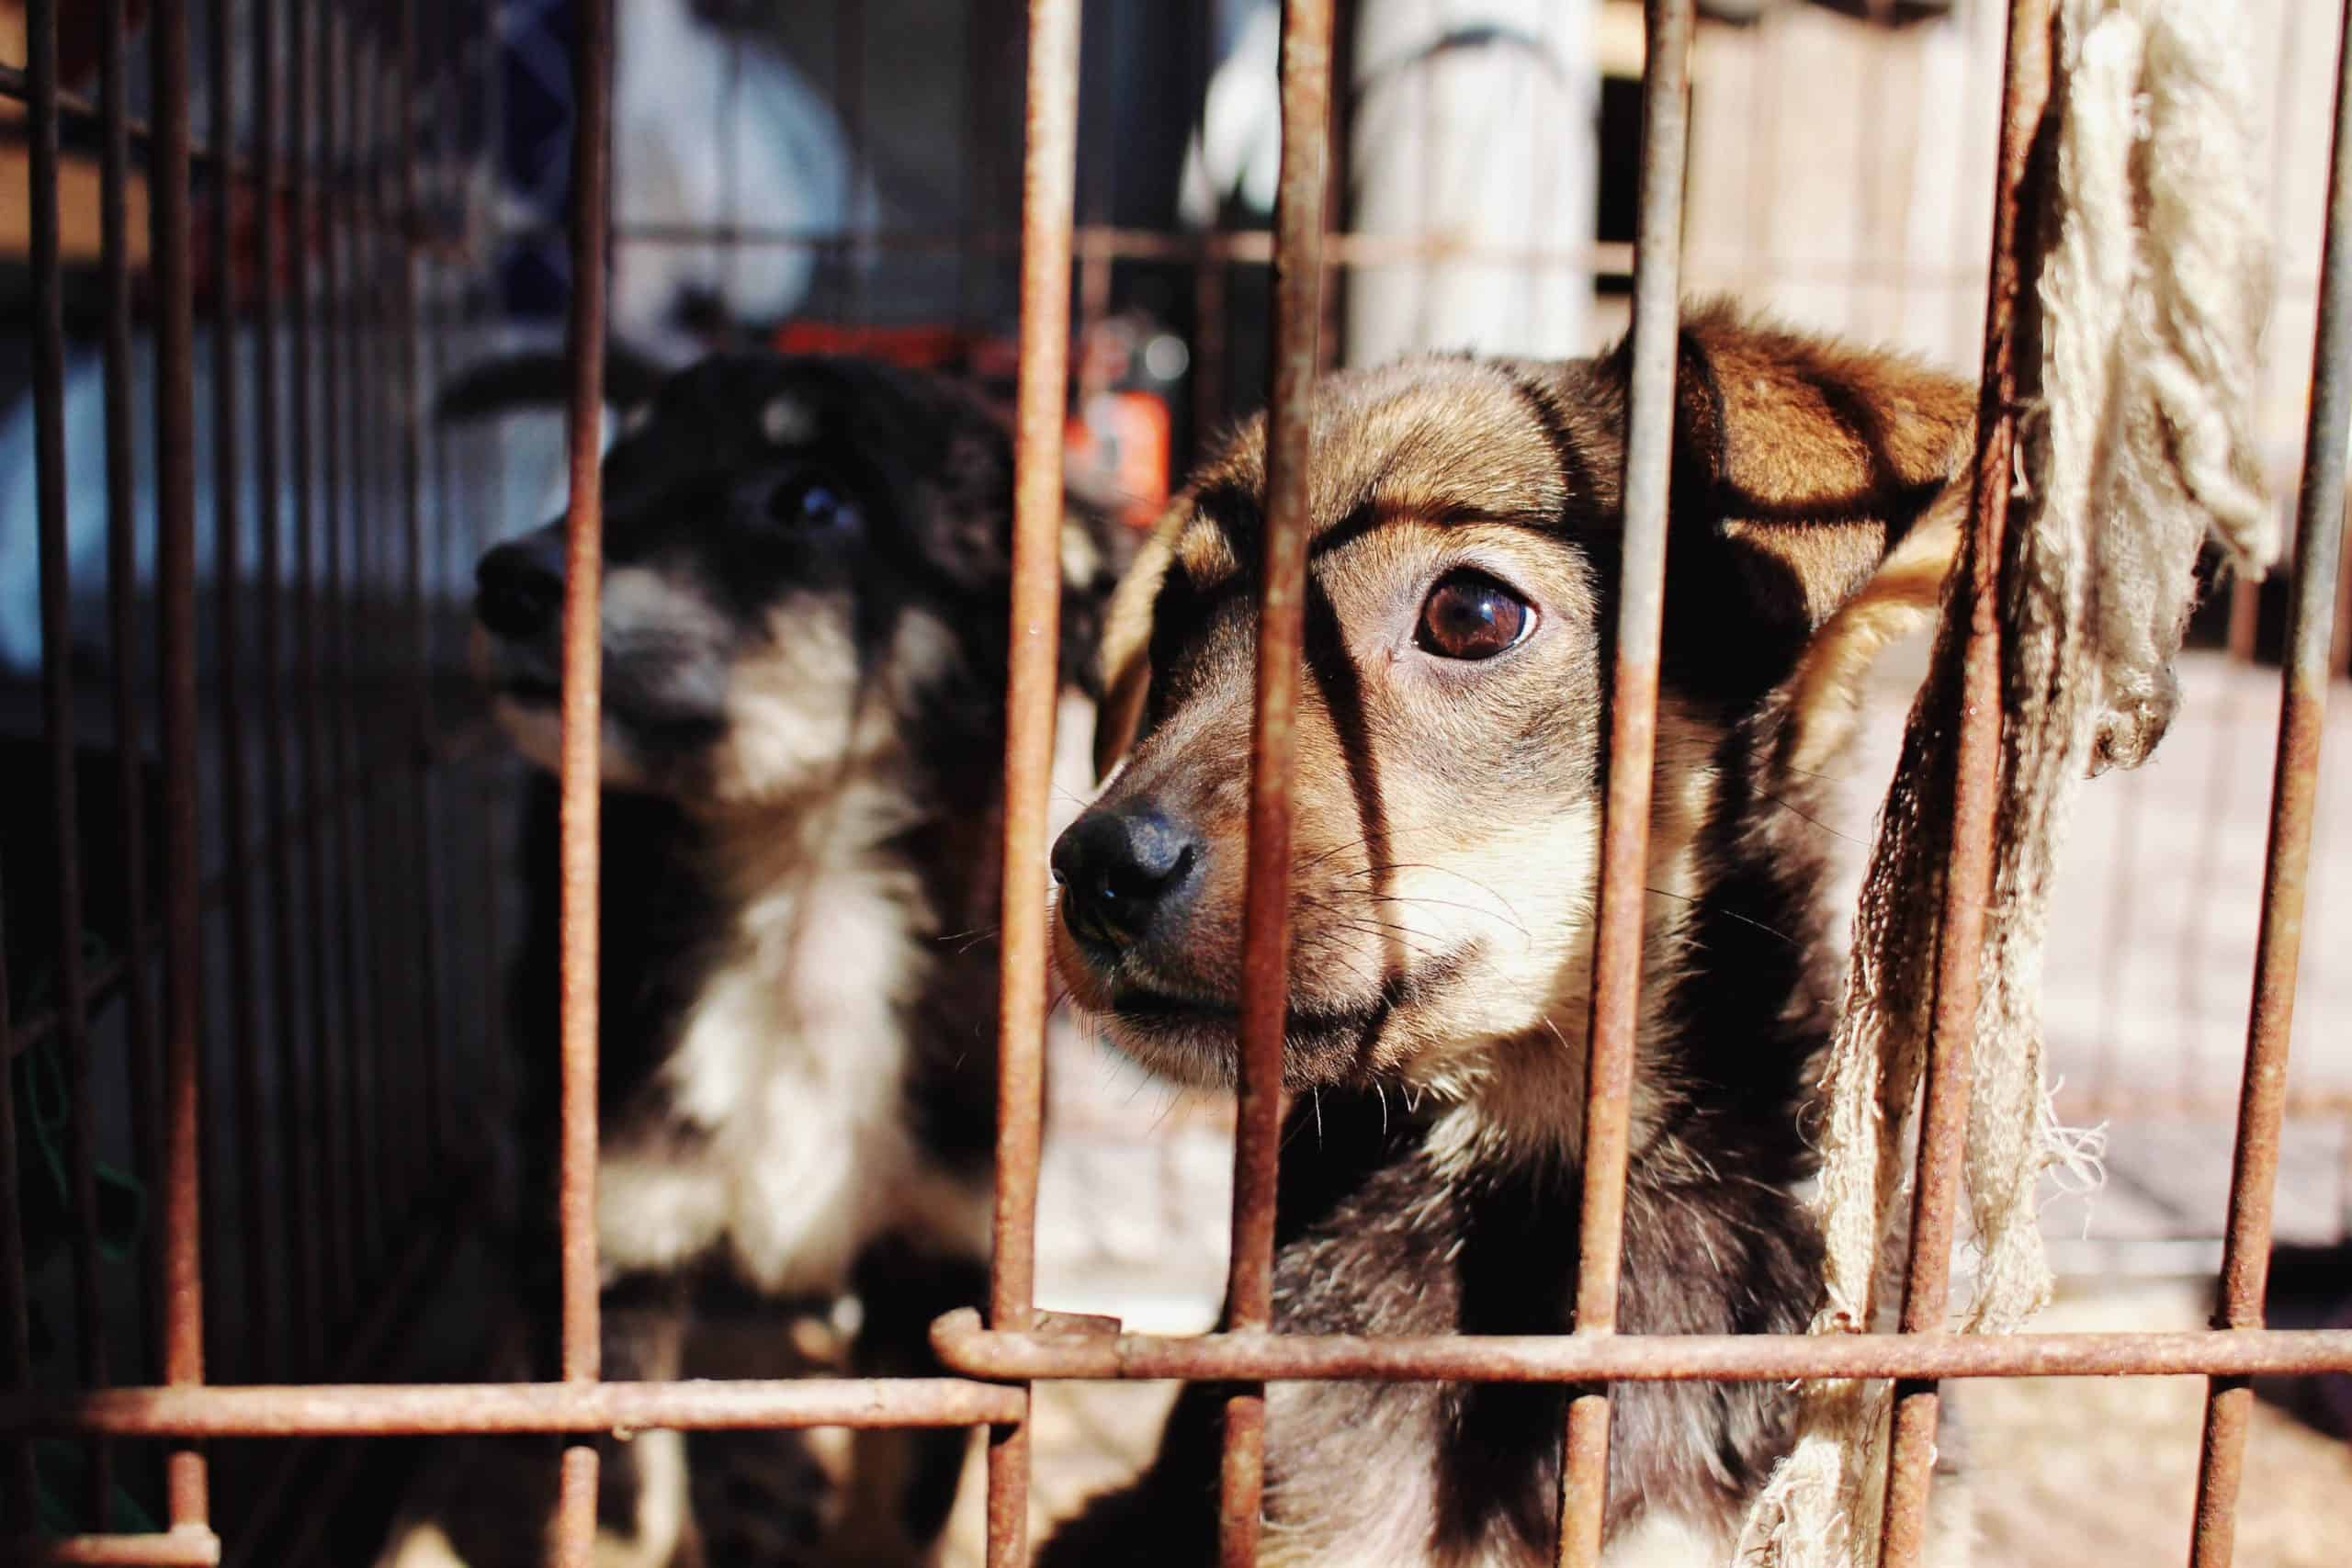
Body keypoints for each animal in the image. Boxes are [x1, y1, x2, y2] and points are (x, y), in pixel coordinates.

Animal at [380, 355, 1114, 1568]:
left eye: (812, 500)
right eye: (616, 460)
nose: (506, 581)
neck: (802, 900)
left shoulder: (940, 1258)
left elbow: (893, 1507)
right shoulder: (612, 1253)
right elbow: (623, 1517)